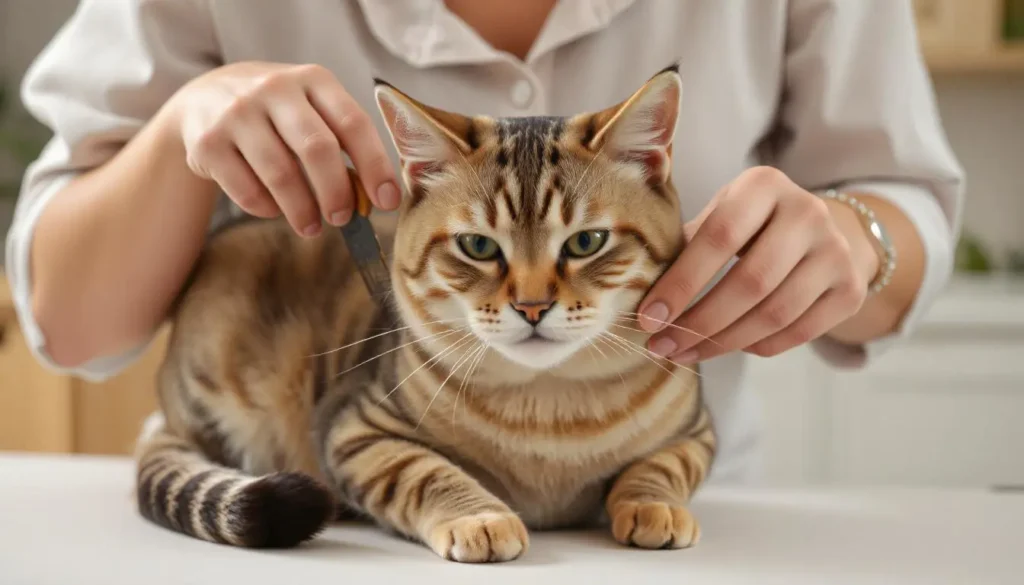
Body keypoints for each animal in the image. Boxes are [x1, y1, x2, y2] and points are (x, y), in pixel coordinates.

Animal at [132, 64, 716, 561]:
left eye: (586, 242)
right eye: (478, 246)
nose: (532, 306)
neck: (550, 416)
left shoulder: (696, 431)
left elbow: (665, 464)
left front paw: (654, 504)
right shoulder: (353, 425)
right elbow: (420, 470)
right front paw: (479, 517)